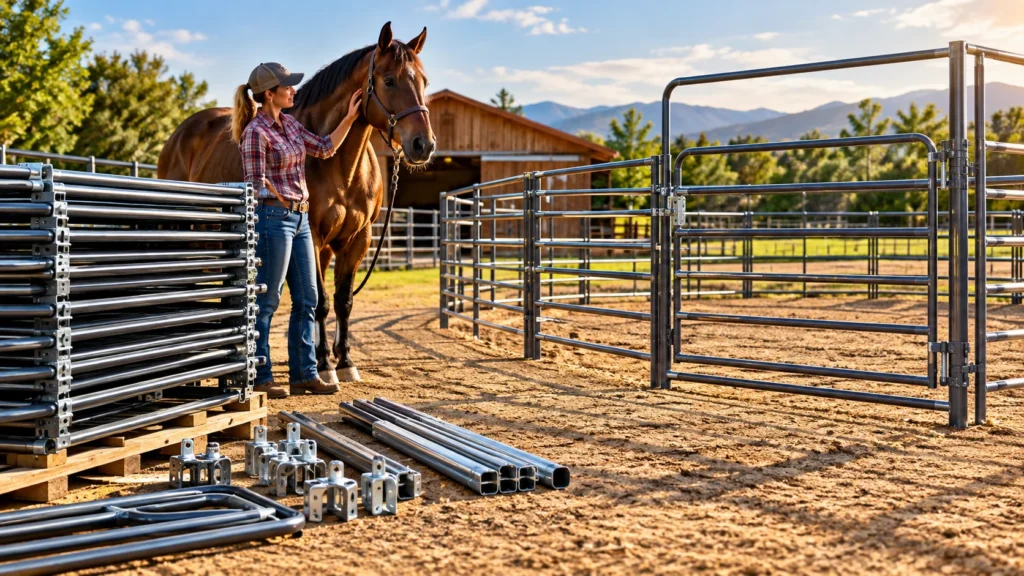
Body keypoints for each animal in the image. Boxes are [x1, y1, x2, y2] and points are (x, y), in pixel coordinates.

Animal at [157, 22, 435, 384]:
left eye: (424, 81)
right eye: (389, 80)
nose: (423, 145)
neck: (341, 166)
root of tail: (178, 135)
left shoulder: (357, 240)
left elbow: (343, 301)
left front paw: (344, 361)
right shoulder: (312, 237)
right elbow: (320, 302)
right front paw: (325, 365)